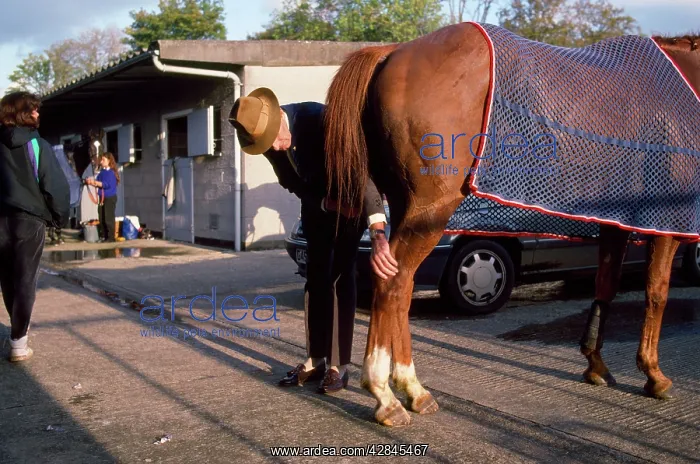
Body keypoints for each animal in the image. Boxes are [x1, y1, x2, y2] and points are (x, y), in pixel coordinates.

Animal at [323, 22, 700, 427]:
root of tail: (393, 52)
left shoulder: (616, 222)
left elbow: (606, 286)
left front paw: (596, 365)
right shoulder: (666, 226)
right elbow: (656, 293)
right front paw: (653, 375)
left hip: (405, 207)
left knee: (401, 286)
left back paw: (412, 390)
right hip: (429, 211)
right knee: (393, 284)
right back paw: (386, 395)